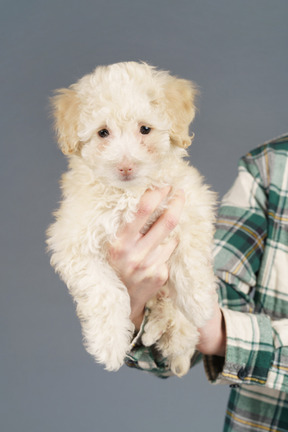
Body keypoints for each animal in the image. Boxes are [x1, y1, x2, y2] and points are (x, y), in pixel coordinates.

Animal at [47, 62, 217, 376]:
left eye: (145, 129)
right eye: (103, 133)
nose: (125, 166)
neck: (129, 194)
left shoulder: (189, 202)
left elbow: (190, 257)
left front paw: (199, 303)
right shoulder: (75, 241)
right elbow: (105, 293)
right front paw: (110, 346)